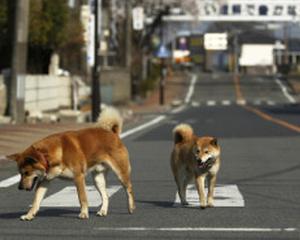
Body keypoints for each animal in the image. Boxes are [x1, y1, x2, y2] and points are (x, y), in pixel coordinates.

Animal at [7, 108, 136, 220]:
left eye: (26, 173)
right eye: (20, 173)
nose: (19, 187)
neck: (48, 156)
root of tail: (113, 134)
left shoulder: (78, 177)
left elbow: (82, 198)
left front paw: (84, 213)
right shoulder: (45, 180)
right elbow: (36, 201)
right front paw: (29, 215)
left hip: (121, 173)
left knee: (129, 188)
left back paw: (131, 207)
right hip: (98, 179)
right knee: (106, 196)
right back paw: (103, 211)